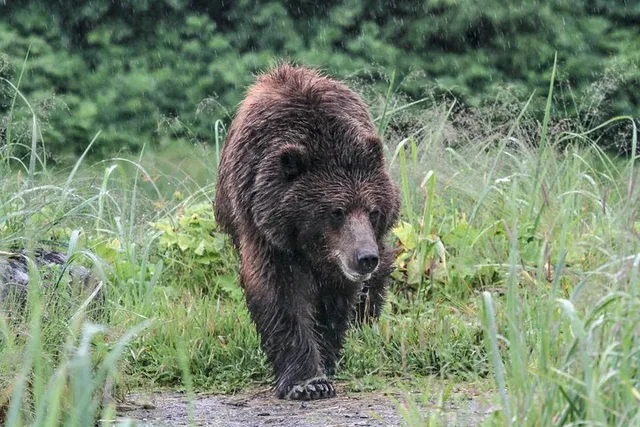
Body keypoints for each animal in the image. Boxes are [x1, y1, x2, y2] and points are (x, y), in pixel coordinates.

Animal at [214, 64, 400, 400]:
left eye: (372, 210)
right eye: (336, 211)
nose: (365, 257)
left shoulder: (341, 257)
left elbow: (334, 299)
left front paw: (325, 361)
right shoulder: (265, 231)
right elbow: (281, 295)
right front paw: (307, 381)